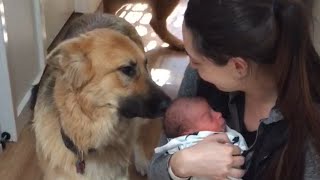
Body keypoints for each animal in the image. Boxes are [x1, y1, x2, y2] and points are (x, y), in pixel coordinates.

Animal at [32, 14, 171, 180]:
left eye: (145, 65)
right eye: (127, 69)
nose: (170, 104)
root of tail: (105, 14)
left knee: (136, 139)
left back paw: (142, 162)